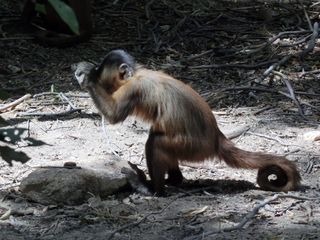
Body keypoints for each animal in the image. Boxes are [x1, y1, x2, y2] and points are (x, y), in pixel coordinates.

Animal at [74, 49, 302, 196]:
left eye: (99, 71)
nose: (94, 73)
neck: (136, 74)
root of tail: (217, 138)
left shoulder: (134, 88)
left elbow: (114, 116)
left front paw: (86, 76)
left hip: (193, 148)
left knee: (156, 141)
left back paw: (153, 190)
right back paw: (173, 180)